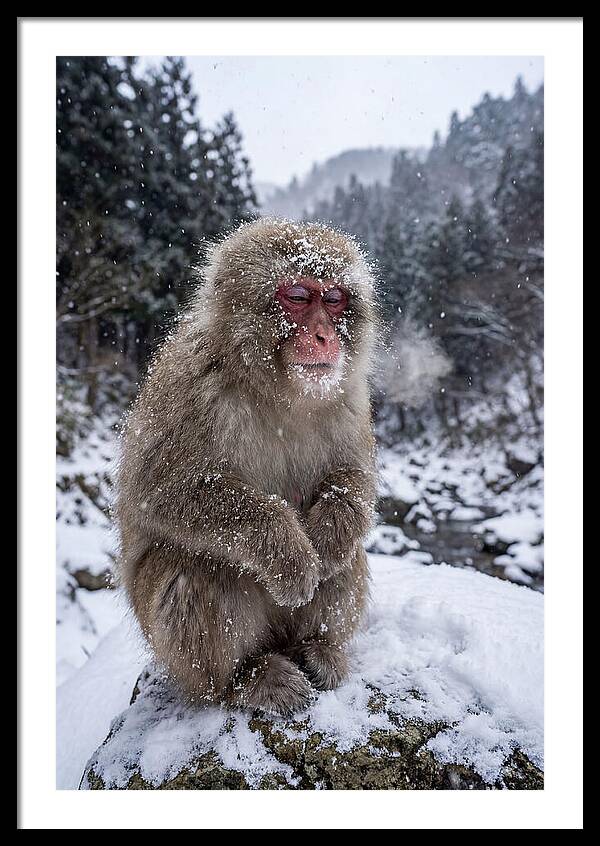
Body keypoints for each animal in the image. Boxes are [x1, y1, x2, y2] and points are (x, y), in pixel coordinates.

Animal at [116, 218, 379, 716]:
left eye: (334, 299)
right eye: (298, 296)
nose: (324, 335)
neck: (277, 391)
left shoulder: (350, 398)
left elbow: (354, 478)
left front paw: (329, 535)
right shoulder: (188, 386)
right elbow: (160, 492)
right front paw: (289, 553)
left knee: (348, 557)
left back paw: (318, 648)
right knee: (192, 568)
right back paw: (245, 679)